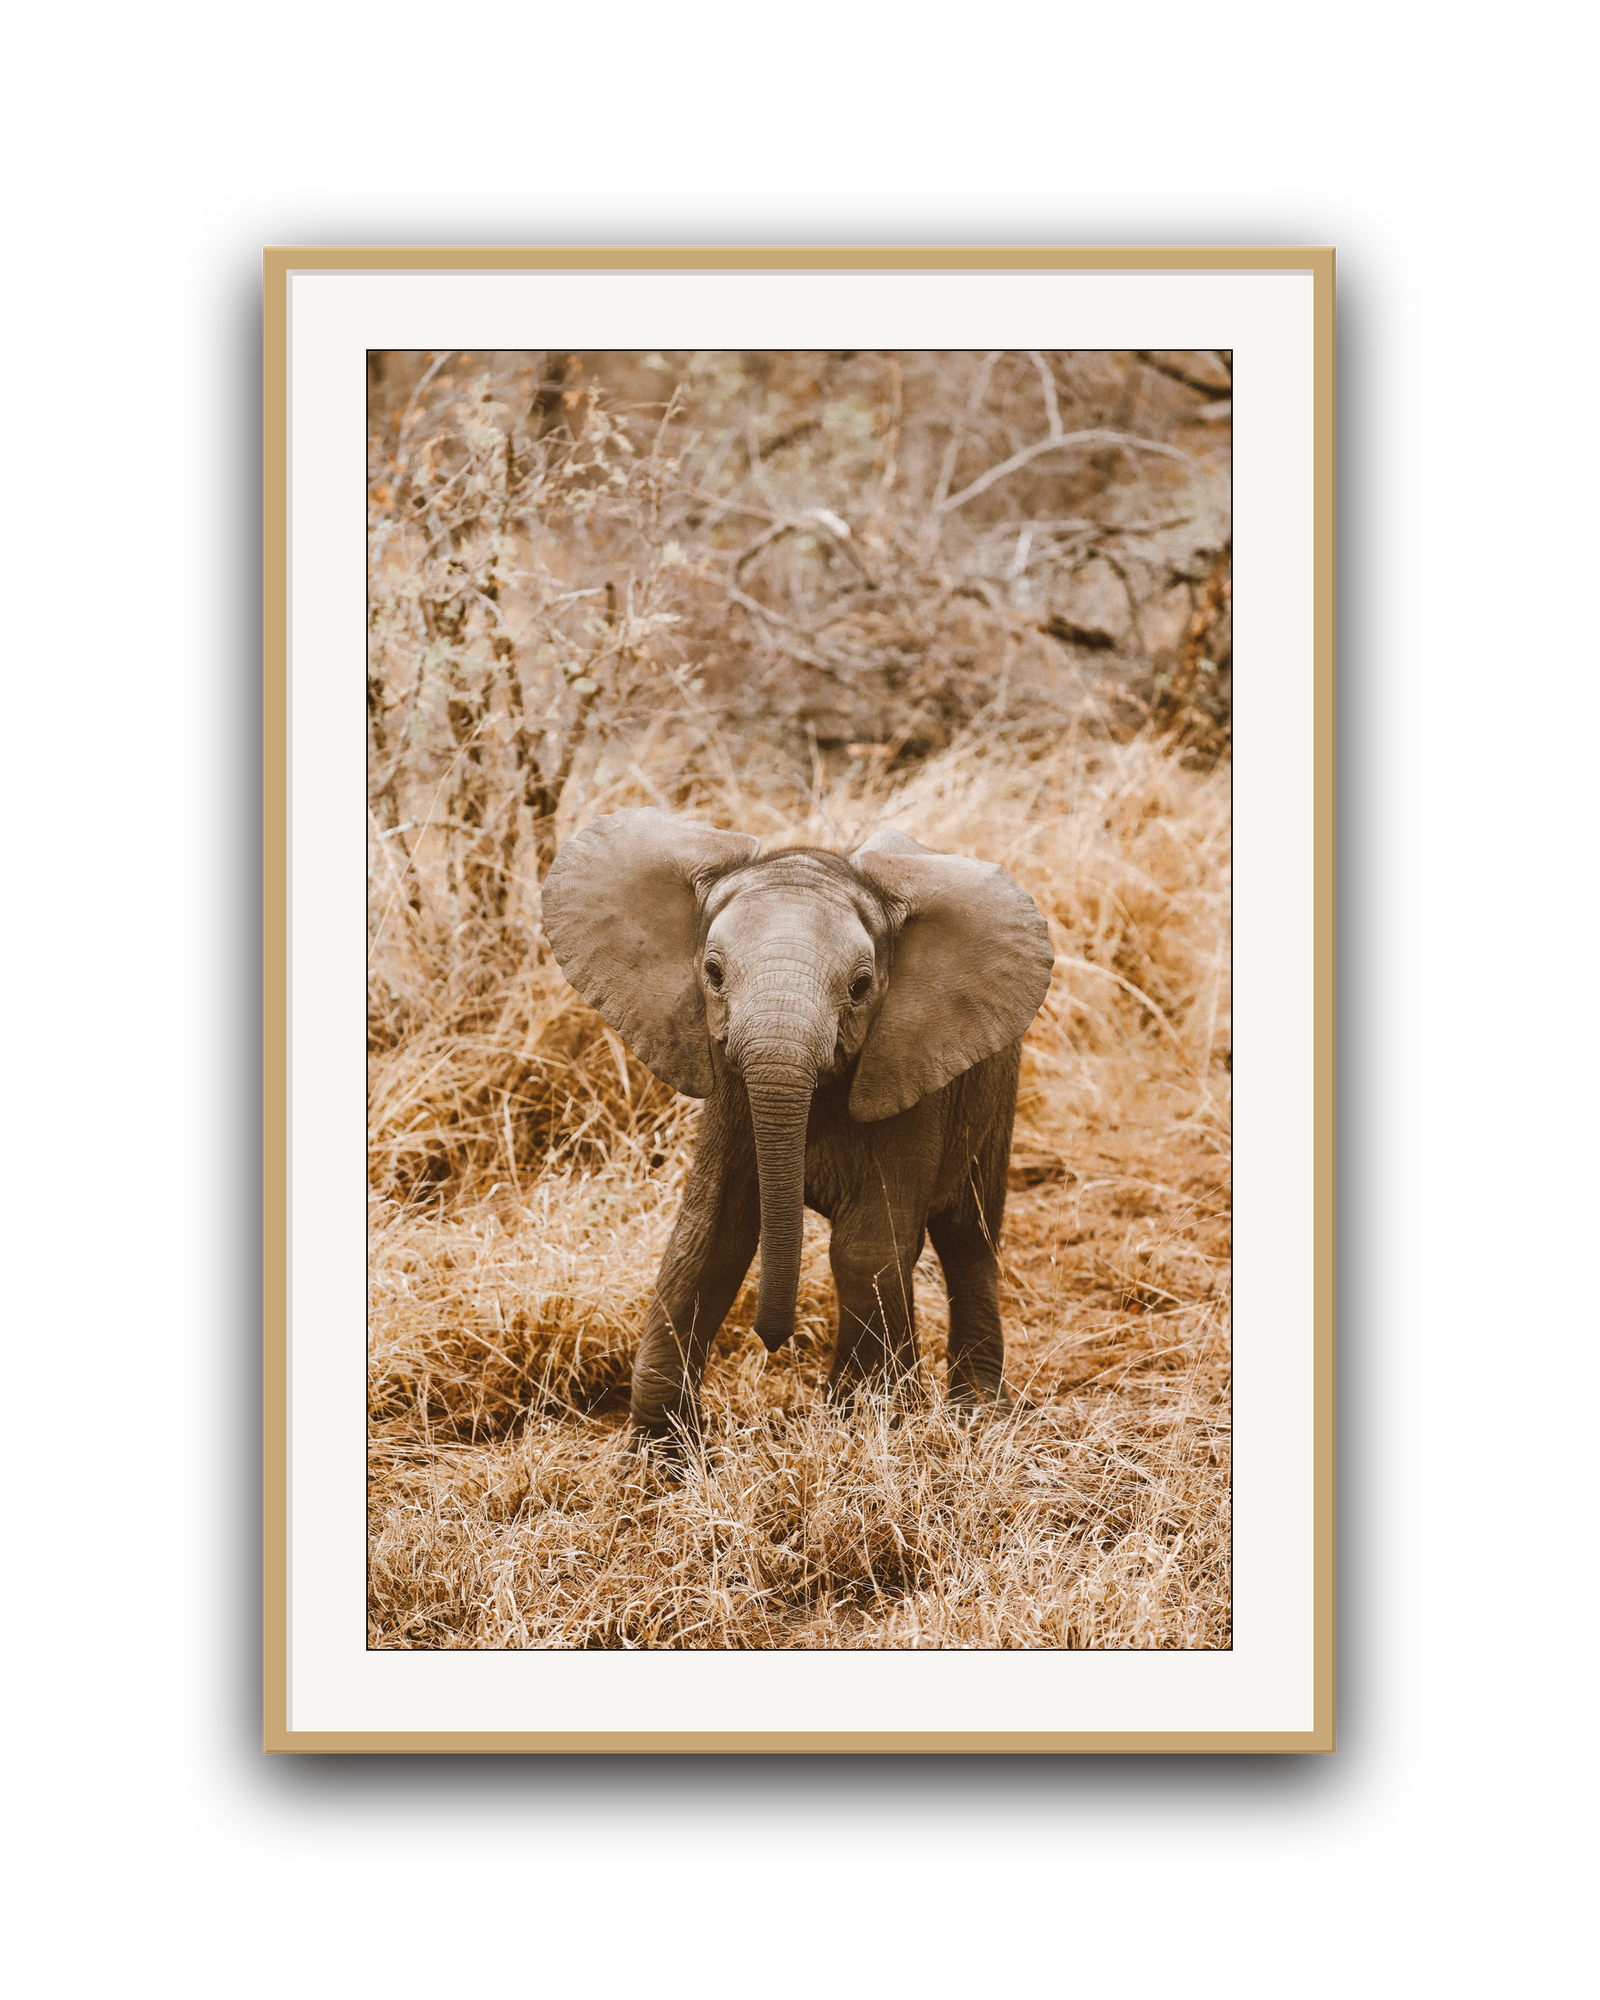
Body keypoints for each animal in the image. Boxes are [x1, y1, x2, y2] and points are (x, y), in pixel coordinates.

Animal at [539, 808, 1054, 1445]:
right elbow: (709, 1236)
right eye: (712, 973)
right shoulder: (732, 1091)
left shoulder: (908, 1072)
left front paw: (864, 1423)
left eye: (860, 987)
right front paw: (660, 1458)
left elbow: (866, 1246)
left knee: (970, 1238)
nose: (772, 1342)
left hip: (995, 1089)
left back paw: (979, 1413)